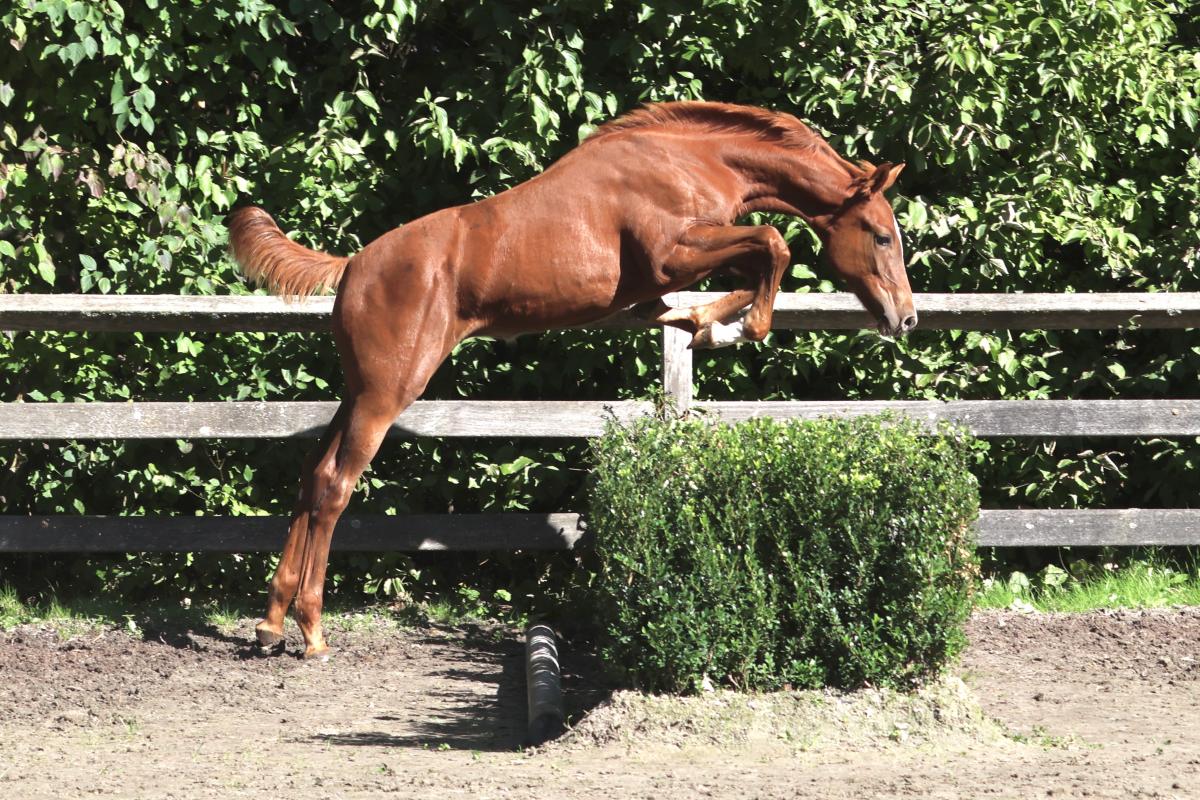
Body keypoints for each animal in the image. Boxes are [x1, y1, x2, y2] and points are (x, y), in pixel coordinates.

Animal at [228, 101, 915, 659]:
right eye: (882, 235)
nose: (904, 318)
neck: (692, 161)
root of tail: (352, 267)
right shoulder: (671, 255)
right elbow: (773, 244)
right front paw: (736, 330)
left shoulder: (650, 290)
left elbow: (712, 293)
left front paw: (707, 328)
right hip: (386, 394)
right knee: (334, 487)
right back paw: (313, 631)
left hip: (356, 393)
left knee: (310, 477)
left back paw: (270, 624)